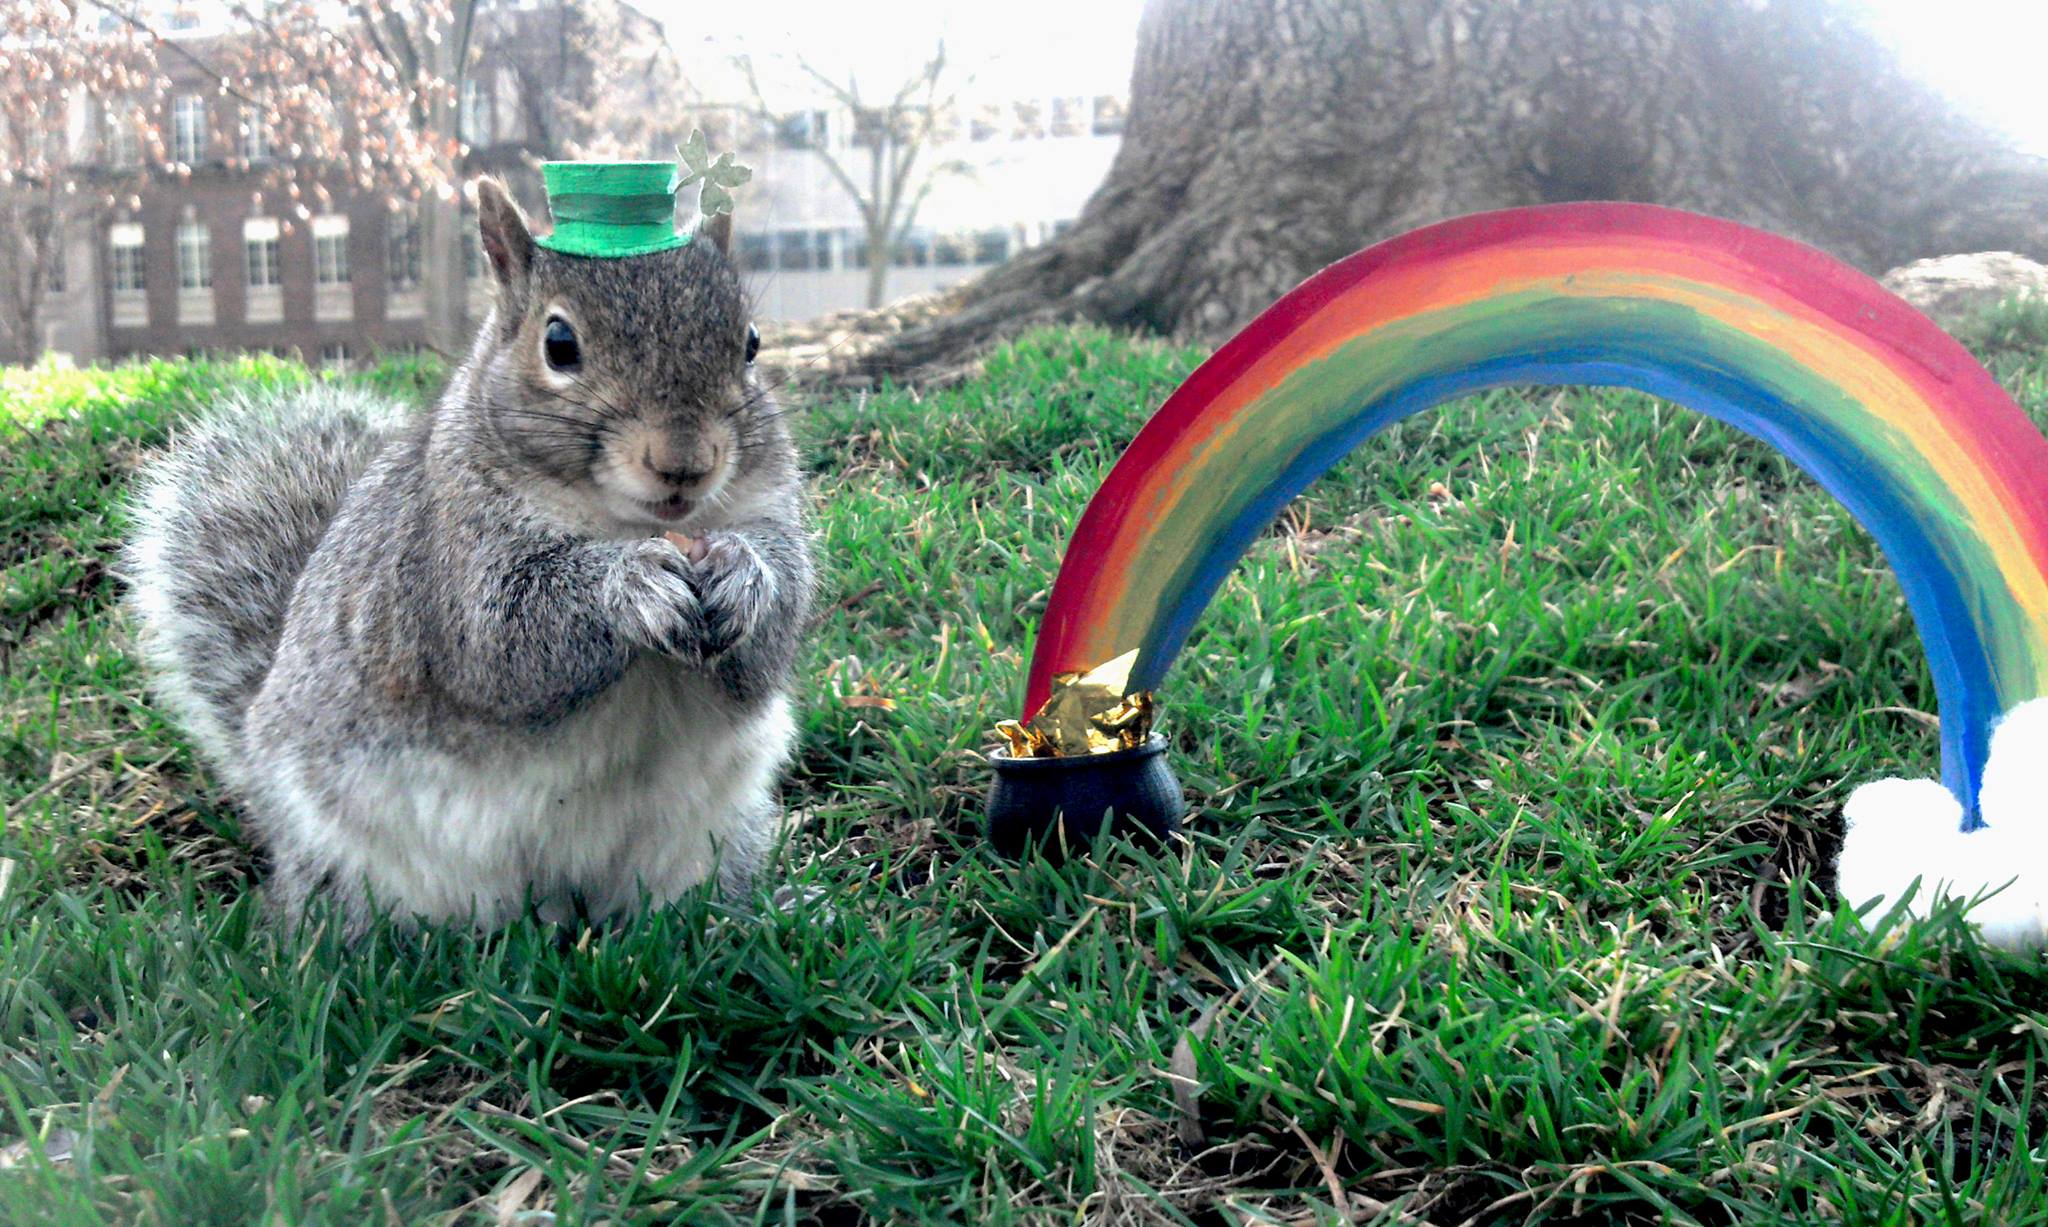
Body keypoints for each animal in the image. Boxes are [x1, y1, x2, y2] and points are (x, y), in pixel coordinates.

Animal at [121, 180, 815, 929]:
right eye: (559, 343)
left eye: (750, 343)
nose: (685, 463)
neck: (626, 521)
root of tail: (556, 905)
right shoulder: (446, 555)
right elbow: (499, 643)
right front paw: (630, 586)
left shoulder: (770, 513)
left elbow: (772, 638)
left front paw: (745, 576)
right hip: (344, 859)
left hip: (712, 837)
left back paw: (758, 912)